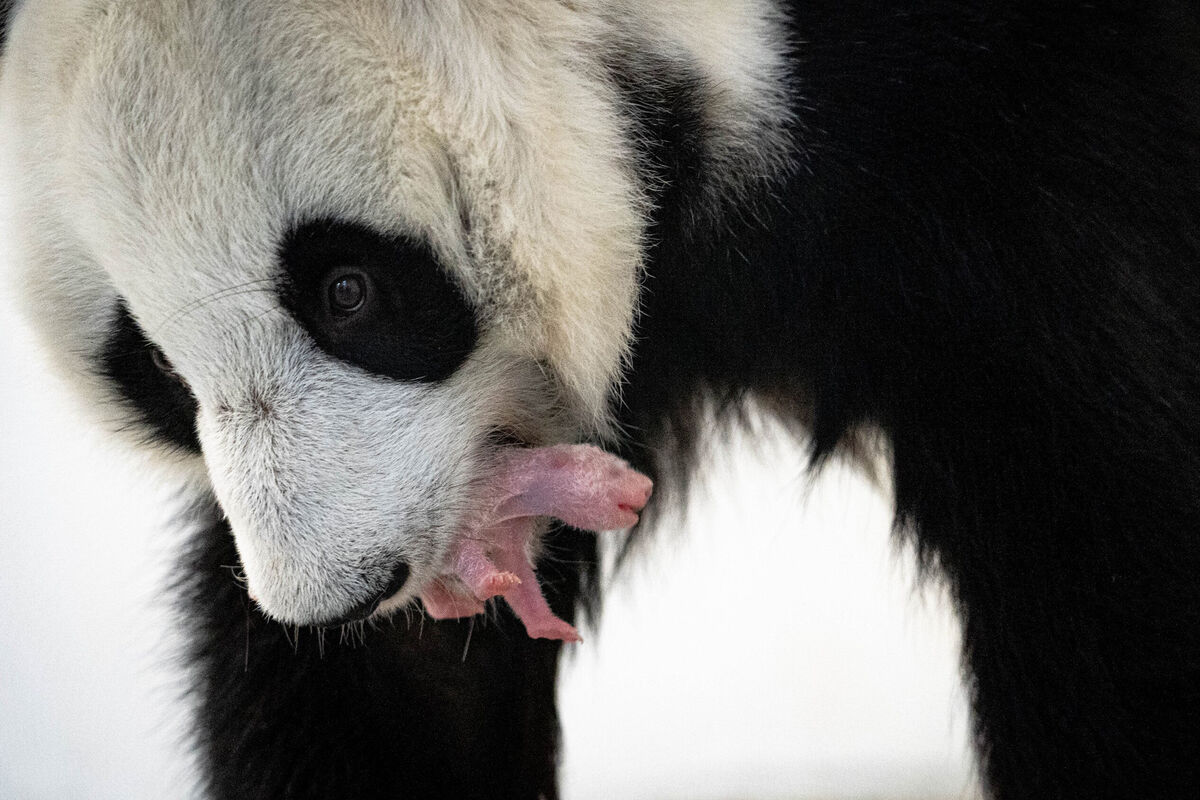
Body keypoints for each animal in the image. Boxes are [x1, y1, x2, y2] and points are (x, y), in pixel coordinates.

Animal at [2, 1, 1200, 800]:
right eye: (156, 368)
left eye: (348, 289)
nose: (341, 595)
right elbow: (395, 698)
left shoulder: (1016, 156)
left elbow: (1107, 565)